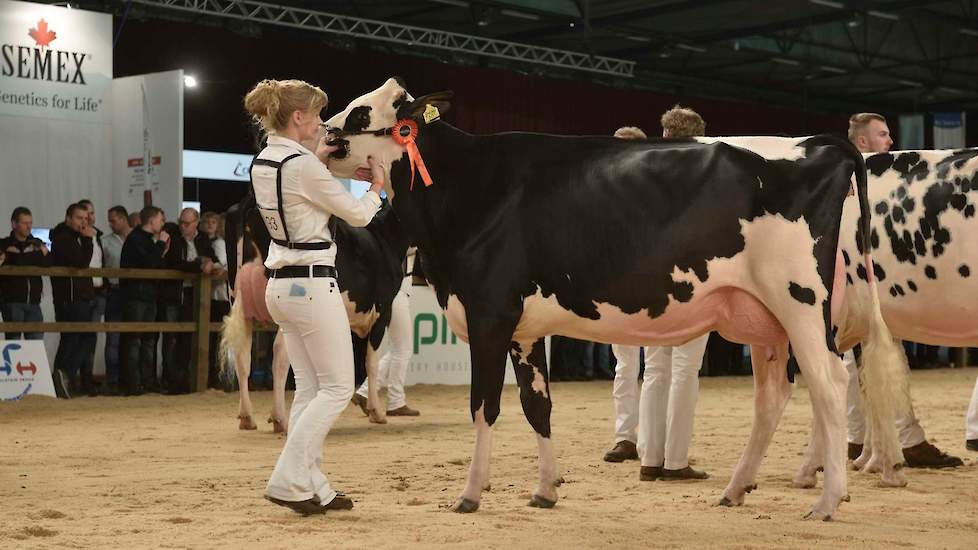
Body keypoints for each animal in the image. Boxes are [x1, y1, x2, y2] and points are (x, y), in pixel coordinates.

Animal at [223, 198, 410, 432]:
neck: (383, 237)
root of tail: (247, 202)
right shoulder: (383, 311)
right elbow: (371, 363)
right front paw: (376, 411)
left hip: (239, 303)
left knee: (242, 357)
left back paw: (247, 417)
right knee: (280, 357)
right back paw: (280, 418)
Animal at [324, 78, 904, 520]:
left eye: (362, 112)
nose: (325, 135)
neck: (469, 189)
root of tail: (819, 142)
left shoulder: (490, 315)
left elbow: (484, 407)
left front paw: (469, 494)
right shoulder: (525, 329)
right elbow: (538, 407)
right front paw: (545, 490)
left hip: (799, 301)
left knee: (829, 385)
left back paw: (827, 501)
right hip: (763, 317)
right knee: (773, 396)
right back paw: (736, 489)